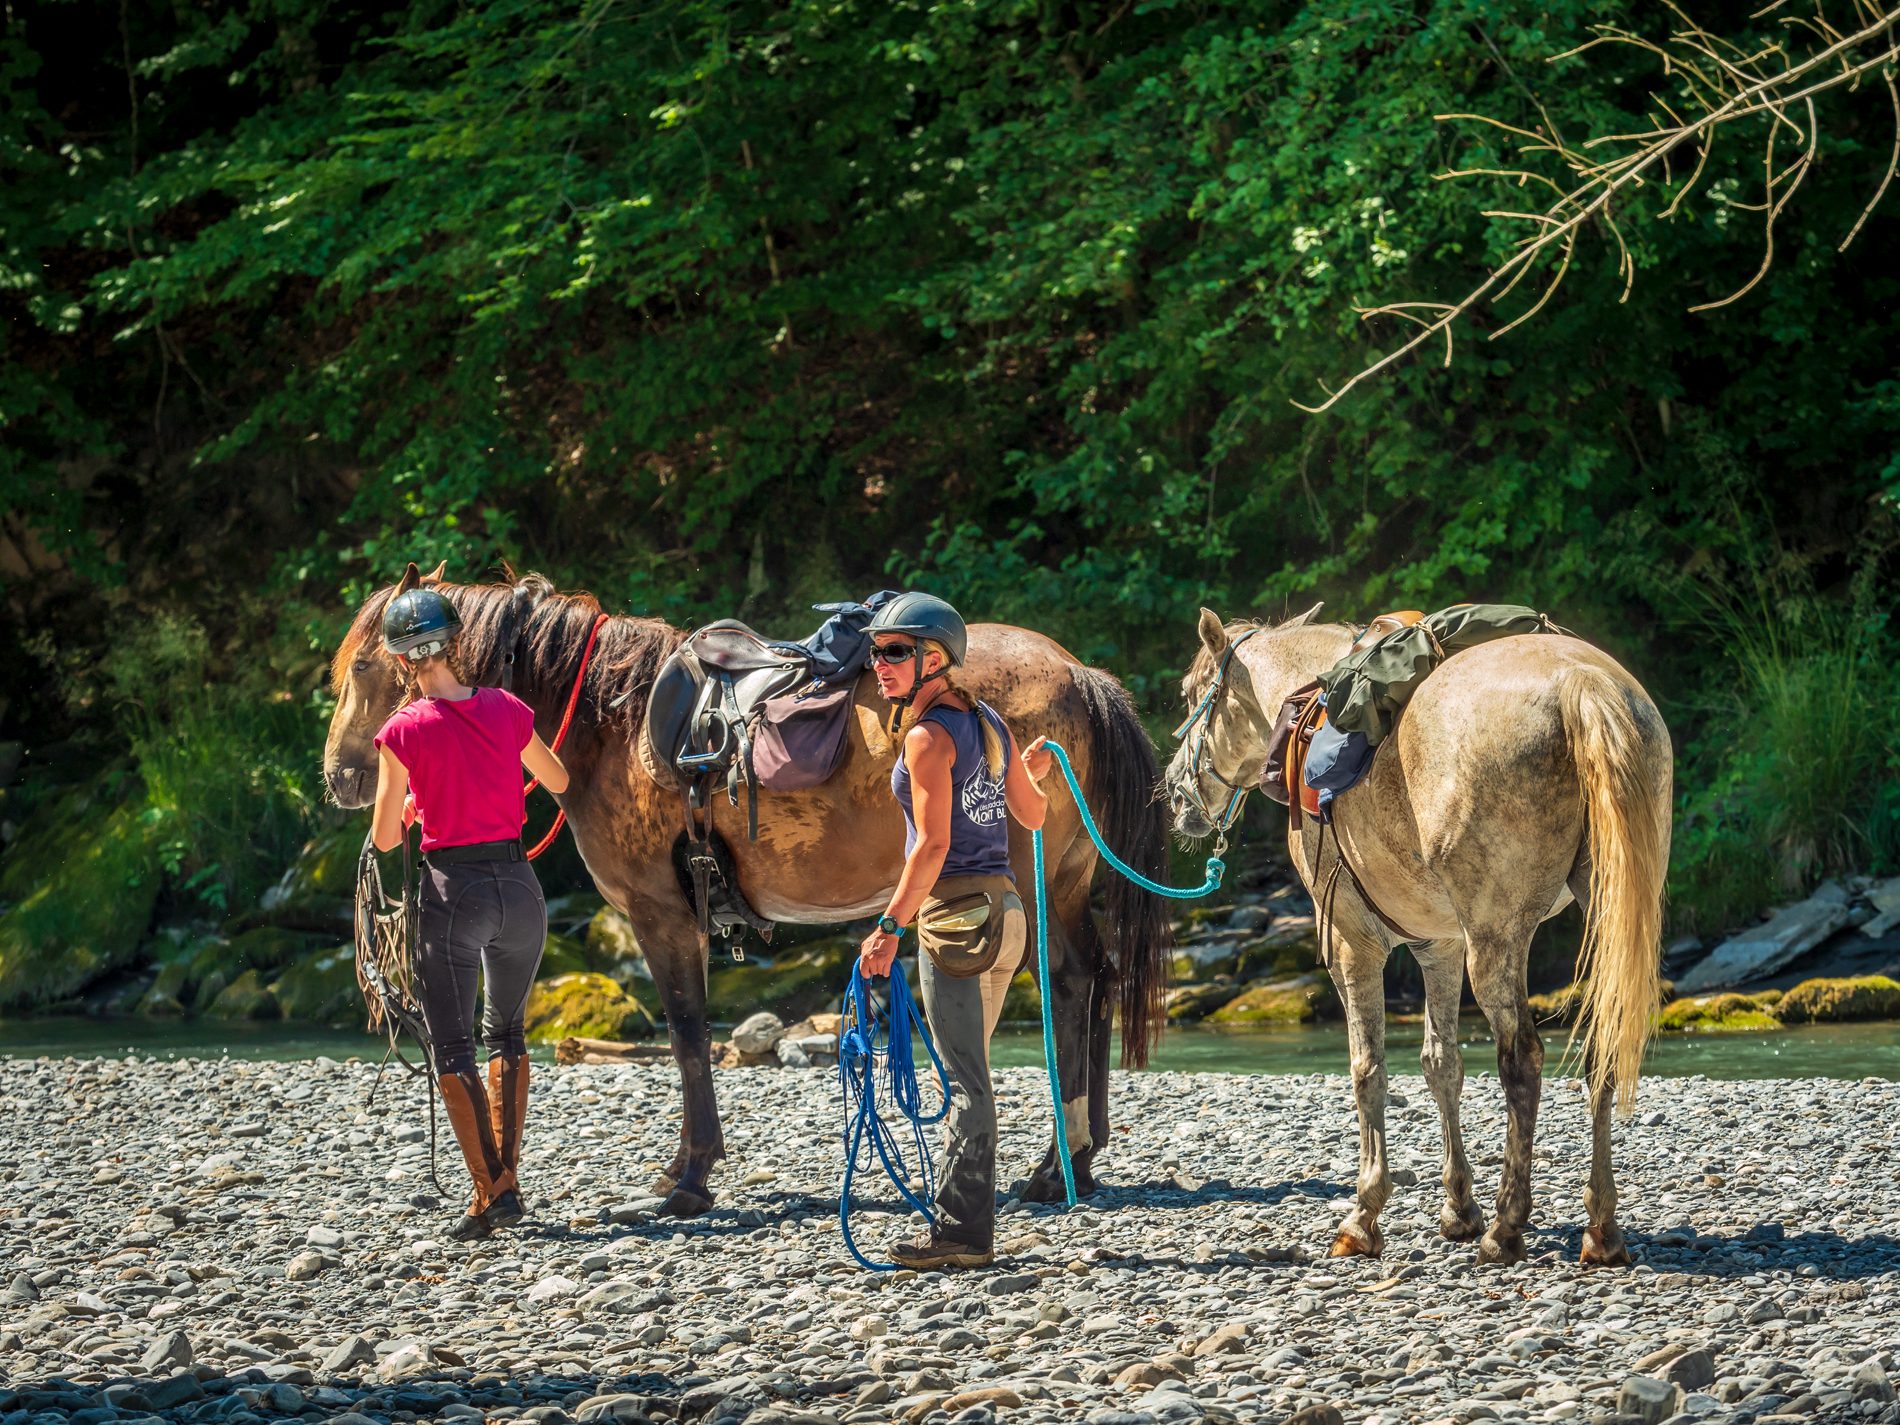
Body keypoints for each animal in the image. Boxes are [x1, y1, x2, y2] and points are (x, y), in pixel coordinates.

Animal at [323, 570, 1170, 1216]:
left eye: (363, 667)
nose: (338, 776)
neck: (613, 722)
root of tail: (1079, 675)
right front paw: (686, 1166)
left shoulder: (662, 915)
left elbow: (689, 1033)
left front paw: (690, 1176)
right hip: (1064, 884)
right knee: (1094, 982)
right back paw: (1078, 1160)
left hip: (1030, 881)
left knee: (1068, 985)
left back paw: (1056, 1164)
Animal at [1155, 608, 1664, 1269]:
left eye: (1192, 694)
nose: (1175, 792)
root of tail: (1583, 684)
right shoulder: (1439, 947)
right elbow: (1441, 1064)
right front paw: (1458, 1210)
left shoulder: (1353, 944)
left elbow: (1367, 1069)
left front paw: (1364, 1215)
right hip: (1596, 923)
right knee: (1603, 1048)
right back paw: (1600, 1228)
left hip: (1496, 941)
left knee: (1521, 1061)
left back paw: (1507, 1227)